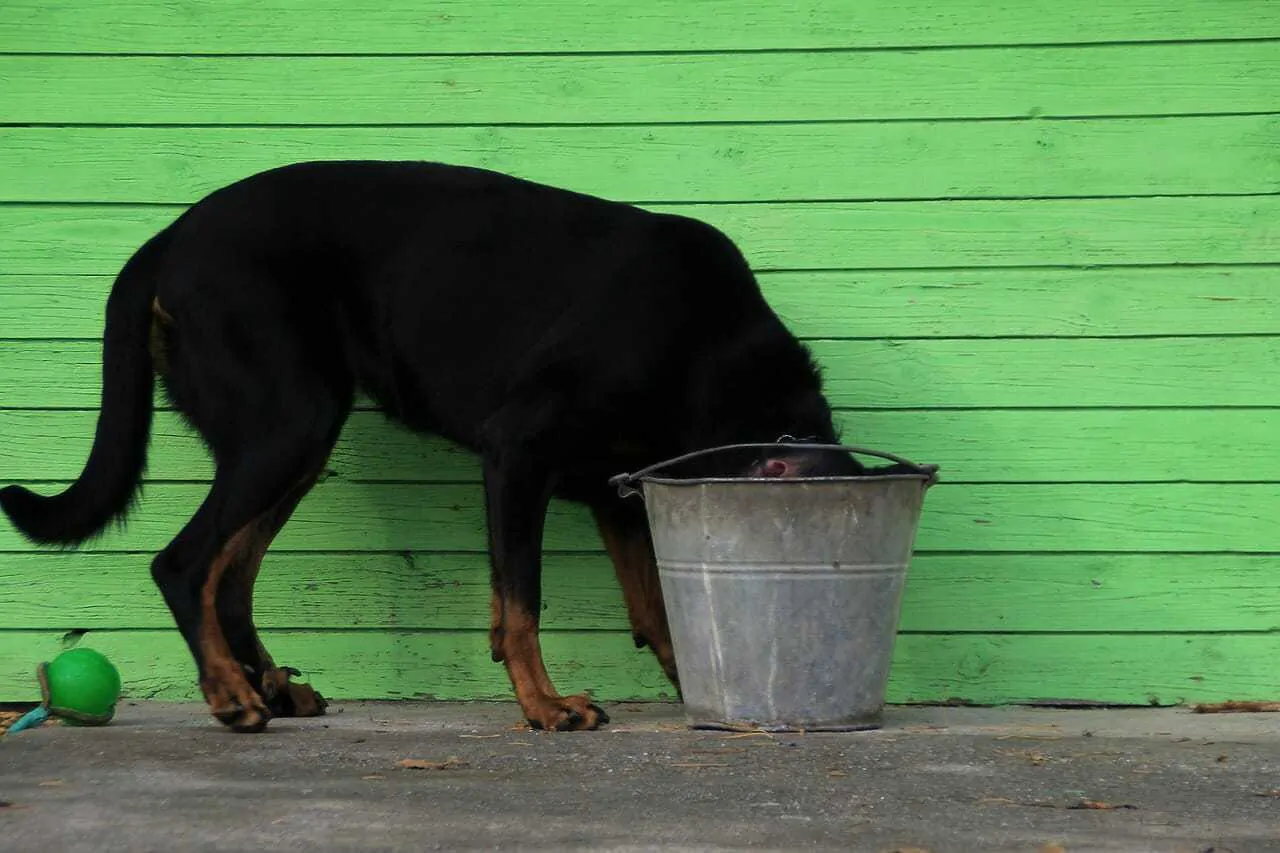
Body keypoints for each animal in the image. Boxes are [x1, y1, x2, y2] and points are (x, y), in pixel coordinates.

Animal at [5, 161, 890, 732]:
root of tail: (169, 238)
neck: (711, 348)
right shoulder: (518, 452)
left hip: (292, 443)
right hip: (289, 422)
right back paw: (229, 695)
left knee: (232, 577)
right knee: (184, 563)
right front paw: (544, 705)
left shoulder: (615, 491)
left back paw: (272, 689)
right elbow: (522, 601)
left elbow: (657, 605)